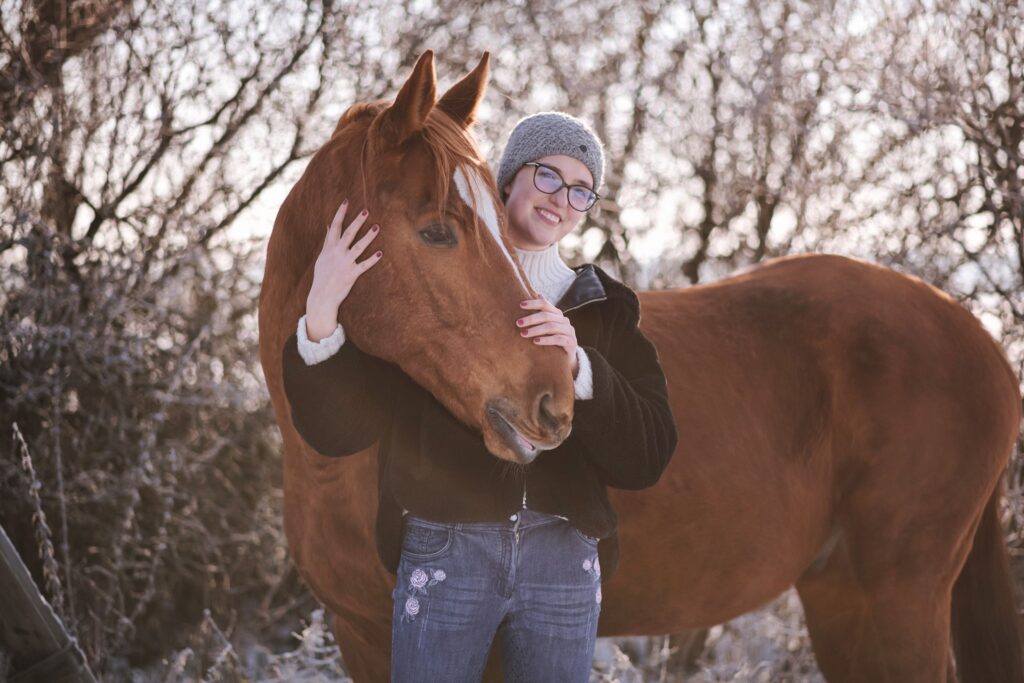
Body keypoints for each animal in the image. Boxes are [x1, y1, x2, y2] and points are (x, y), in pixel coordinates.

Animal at [258, 51, 1023, 682]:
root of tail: (978, 336)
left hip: (892, 602)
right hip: (845, 603)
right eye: (438, 230)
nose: (553, 399)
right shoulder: (364, 638)